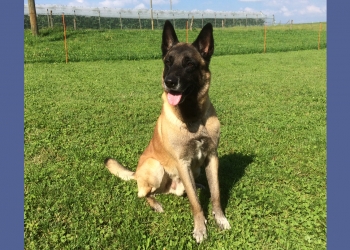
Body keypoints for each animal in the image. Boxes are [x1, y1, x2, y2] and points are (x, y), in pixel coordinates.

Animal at [105, 20, 231, 243]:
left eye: (189, 64)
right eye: (168, 62)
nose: (169, 82)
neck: (192, 118)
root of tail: (136, 173)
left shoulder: (211, 157)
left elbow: (216, 194)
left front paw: (220, 218)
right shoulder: (182, 162)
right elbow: (196, 204)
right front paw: (200, 228)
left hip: (193, 171)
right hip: (155, 167)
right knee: (143, 194)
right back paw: (155, 204)